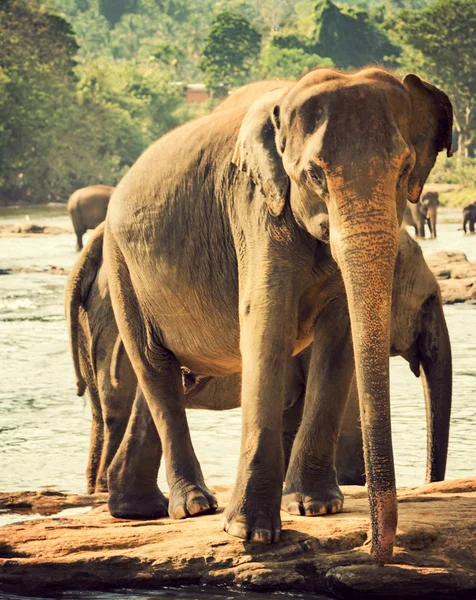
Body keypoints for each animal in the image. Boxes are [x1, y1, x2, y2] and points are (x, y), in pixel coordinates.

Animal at [101, 68, 454, 564]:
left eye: (405, 171)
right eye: (314, 174)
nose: (375, 550)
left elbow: (339, 336)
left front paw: (316, 506)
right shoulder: (254, 207)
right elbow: (267, 318)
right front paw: (250, 533)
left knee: (164, 376)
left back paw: (138, 509)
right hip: (121, 265)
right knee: (153, 366)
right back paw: (193, 506)